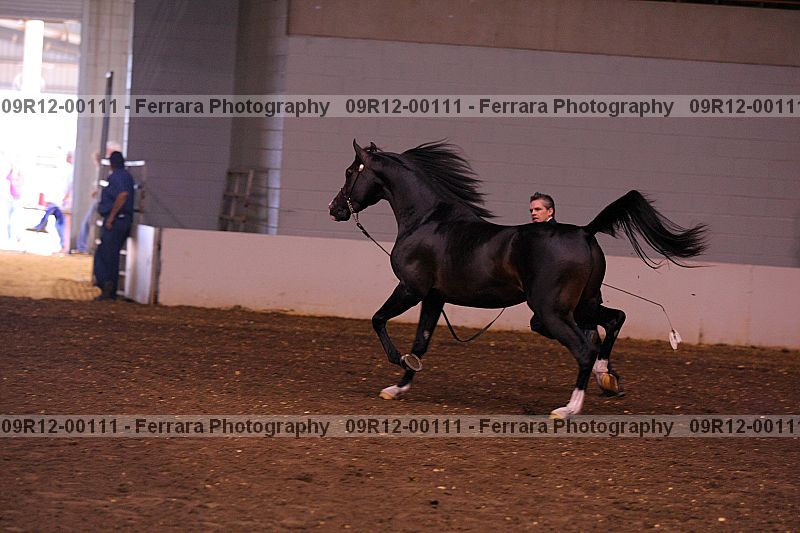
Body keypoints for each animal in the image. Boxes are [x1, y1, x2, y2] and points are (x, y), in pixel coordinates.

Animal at [329, 140, 707, 418]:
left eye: (349, 171)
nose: (335, 209)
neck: (428, 220)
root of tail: (585, 231)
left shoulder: (411, 289)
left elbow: (378, 319)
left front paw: (398, 361)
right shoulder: (435, 297)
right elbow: (421, 342)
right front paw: (399, 386)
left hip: (553, 311)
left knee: (584, 348)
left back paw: (568, 409)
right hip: (582, 304)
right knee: (613, 320)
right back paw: (606, 377)